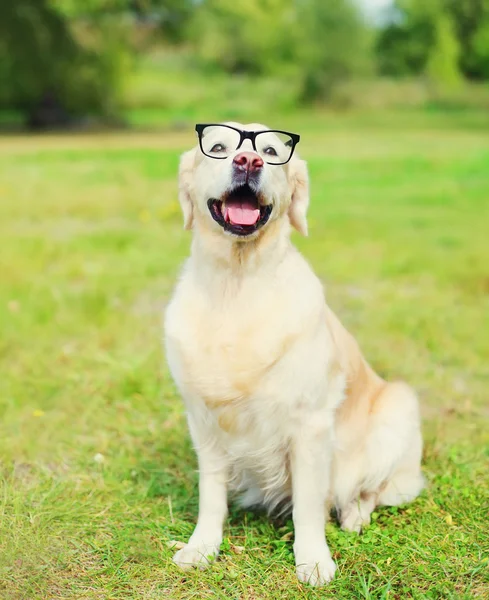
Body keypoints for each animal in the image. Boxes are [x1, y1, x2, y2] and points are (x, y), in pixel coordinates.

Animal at [164, 123, 424, 584]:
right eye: (218, 146)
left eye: (270, 151)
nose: (248, 161)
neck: (237, 285)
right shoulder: (204, 420)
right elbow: (211, 494)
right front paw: (201, 546)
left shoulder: (311, 425)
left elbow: (308, 504)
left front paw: (313, 560)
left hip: (399, 409)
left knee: (373, 489)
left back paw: (354, 514)